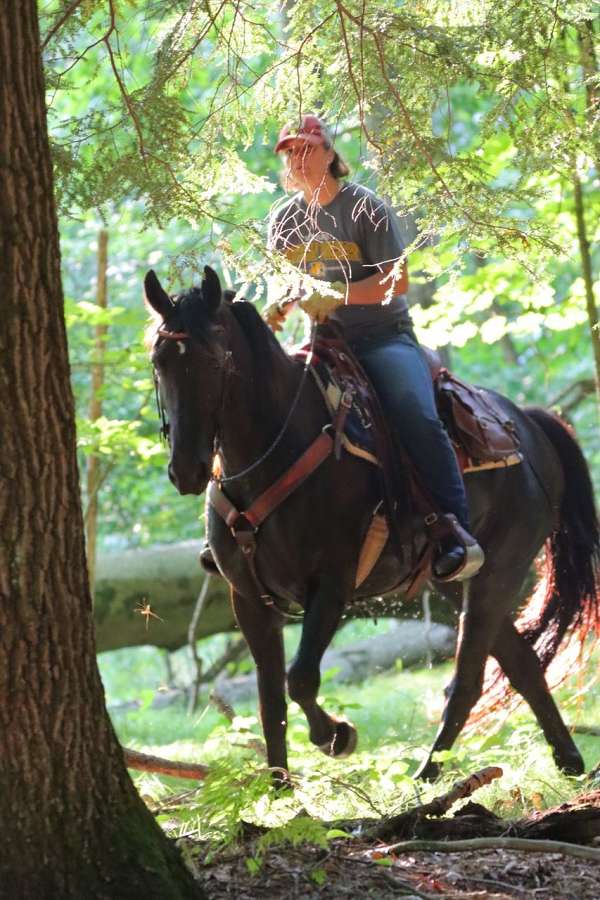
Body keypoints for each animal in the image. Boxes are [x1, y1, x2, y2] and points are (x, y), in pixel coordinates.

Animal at [144, 262, 600, 780]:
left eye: (215, 360)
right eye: (159, 360)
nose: (187, 470)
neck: (272, 449)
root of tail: (529, 422)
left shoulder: (333, 583)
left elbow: (300, 678)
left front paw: (337, 735)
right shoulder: (248, 599)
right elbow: (269, 702)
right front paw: (277, 794)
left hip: (501, 569)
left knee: (470, 676)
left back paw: (429, 777)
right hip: (454, 581)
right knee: (520, 663)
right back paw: (565, 762)